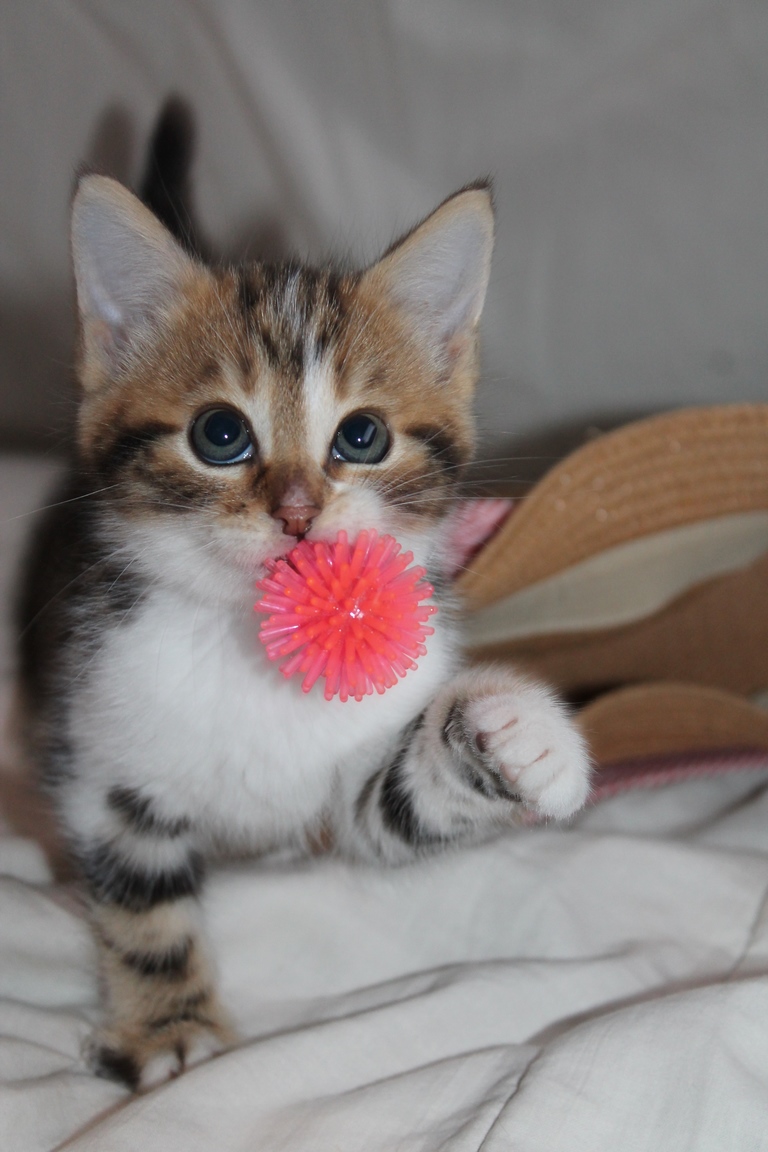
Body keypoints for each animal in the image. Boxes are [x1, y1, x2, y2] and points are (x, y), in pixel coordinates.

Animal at [17, 139, 594, 1082]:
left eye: (362, 437)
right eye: (220, 434)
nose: (296, 512)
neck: (255, 644)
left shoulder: (359, 788)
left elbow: (402, 799)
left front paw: (518, 731)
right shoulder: (104, 760)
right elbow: (143, 905)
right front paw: (169, 1025)